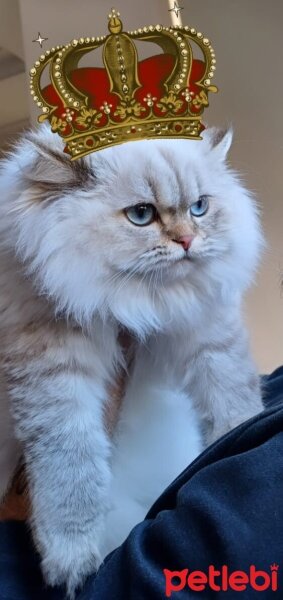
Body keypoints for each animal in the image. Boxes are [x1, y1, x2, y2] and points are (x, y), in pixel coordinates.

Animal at [0, 126, 264, 596]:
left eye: (199, 208)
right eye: (142, 215)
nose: (187, 241)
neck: (142, 301)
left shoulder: (211, 338)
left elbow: (235, 407)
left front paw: (232, 445)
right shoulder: (53, 374)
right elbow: (70, 470)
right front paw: (71, 563)